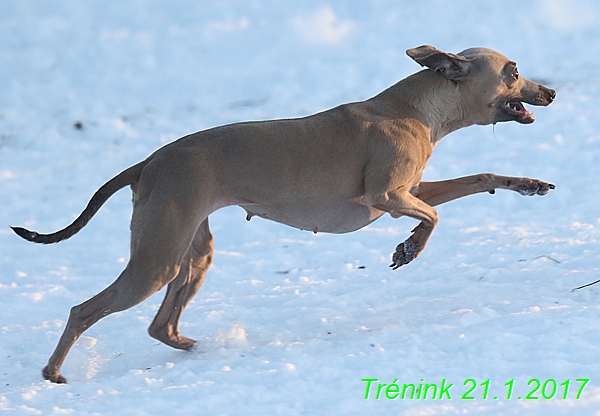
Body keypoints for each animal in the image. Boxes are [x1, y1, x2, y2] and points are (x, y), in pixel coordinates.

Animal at [12, 46, 556, 384]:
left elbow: (481, 178)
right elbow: (433, 220)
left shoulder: (414, 189)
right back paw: (53, 373)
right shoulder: (385, 196)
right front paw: (409, 247)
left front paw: (528, 184)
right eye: (512, 70)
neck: (417, 109)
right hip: (157, 260)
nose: (550, 93)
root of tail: (147, 163)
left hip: (194, 254)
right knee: (84, 311)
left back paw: (205, 348)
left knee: (160, 327)